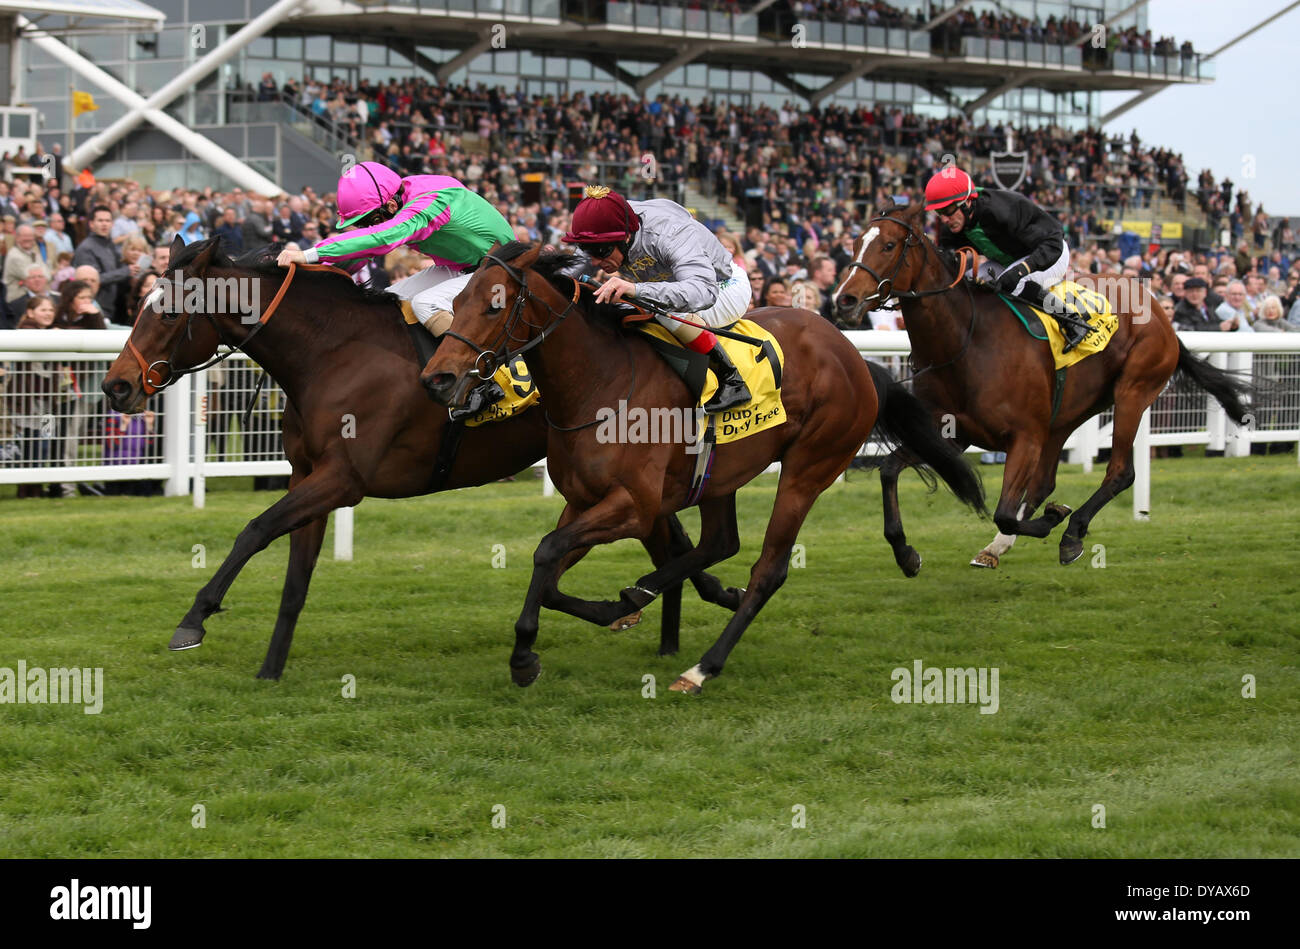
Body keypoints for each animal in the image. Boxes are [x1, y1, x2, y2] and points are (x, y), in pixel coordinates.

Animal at [101, 236, 743, 681]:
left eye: (167, 311)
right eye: (141, 303)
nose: (116, 386)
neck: (331, 352)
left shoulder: (343, 479)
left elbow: (253, 530)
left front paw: (193, 620)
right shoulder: (310, 477)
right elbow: (294, 580)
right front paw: (270, 669)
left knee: (667, 538)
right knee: (670, 539)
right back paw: (681, 618)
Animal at [421, 240, 977, 691]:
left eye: (494, 305)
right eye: (456, 302)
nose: (437, 379)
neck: (599, 383)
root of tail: (854, 356)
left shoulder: (634, 505)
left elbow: (546, 550)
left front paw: (524, 656)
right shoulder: (583, 501)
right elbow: (552, 572)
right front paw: (606, 611)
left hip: (810, 466)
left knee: (768, 569)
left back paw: (702, 666)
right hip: (719, 476)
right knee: (719, 542)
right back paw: (652, 593)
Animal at [832, 200, 1248, 569]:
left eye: (889, 245)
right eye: (854, 244)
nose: (844, 299)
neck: (966, 340)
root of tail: (1163, 314)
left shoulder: (1024, 436)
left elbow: (1004, 511)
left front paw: (1054, 520)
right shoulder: (951, 433)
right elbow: (889, 470)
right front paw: (906, 553)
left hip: (1133, 390)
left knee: (1119, 472)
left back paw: (1072, 533)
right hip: (1064, 416)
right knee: (1043, 482)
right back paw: (999, 547)